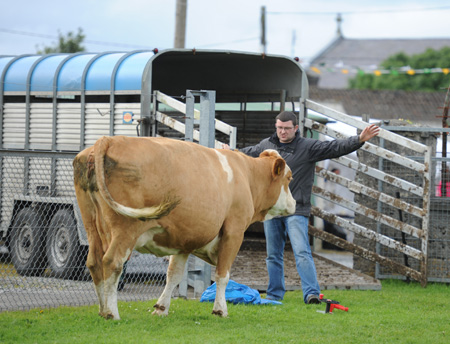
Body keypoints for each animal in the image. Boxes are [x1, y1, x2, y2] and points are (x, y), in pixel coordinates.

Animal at [72, 135, 298, 320]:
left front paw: (161, 308)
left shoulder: (183, 242)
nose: (294, 203)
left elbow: (173, 275)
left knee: (94, 262)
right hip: (125, 230)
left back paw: (103, 310)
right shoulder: (234, 232)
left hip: (91, 225)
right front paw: (220, 310)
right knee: (112, 262)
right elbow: (222, 275)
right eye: (289, 178)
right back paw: (112, 313)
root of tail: (110, 139)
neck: (246, 175)